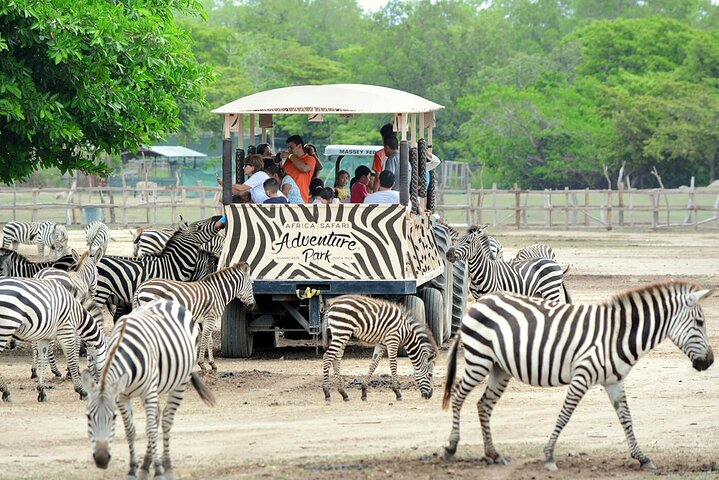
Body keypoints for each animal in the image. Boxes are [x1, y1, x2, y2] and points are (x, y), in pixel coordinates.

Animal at [0, 276, 107, 404]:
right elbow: (71, 360)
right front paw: (81, 390)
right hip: (6, 327)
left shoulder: (44, 338)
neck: (78, 314)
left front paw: (41, 391)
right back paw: (6, 392)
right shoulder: (66, 332)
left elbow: (43, 361)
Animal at [81, 298, 217, 478]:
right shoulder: (122, 396)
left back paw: (167, 466)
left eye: (113, 417)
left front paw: (158, 470)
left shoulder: (148, 391)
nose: (101, 460)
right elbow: (130, 430)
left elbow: (151, 429)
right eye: (88, 417)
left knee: (166, 421)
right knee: (157, 417)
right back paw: (146, 464)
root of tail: (166, 301)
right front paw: (133, 469)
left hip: (178, 382)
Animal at [442, 280, 716, 470]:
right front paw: (549, 455)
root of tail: (479, 302)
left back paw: (494, 454)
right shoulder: (582, 376)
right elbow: (564, 415)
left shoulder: (614, 381)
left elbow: (626, 418)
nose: (710, 361)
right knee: (457, 396)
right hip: (479, 360)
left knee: (484, 404)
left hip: (499, 368)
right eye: (700, 323)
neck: (617, 335)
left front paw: (642, 458)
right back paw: (451, 447)